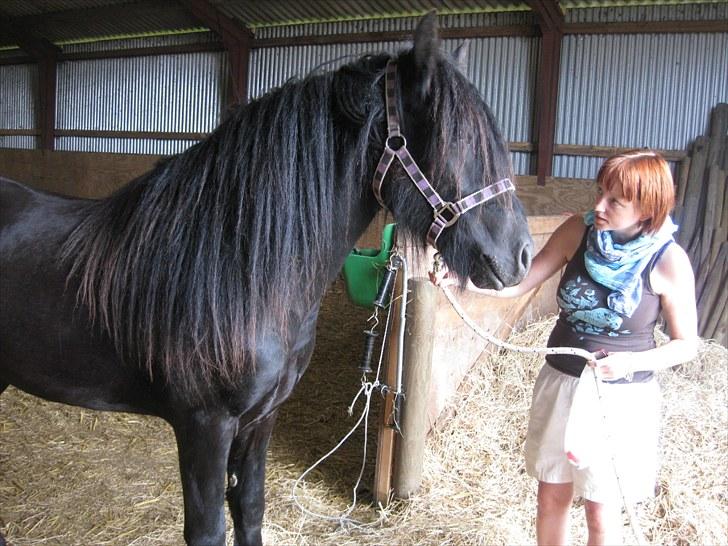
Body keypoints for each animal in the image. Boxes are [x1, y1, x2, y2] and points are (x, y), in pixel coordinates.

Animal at [0, 13, 532, 546]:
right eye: (456, 142)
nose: (521, 255)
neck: (235, 269)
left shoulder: (261, 420)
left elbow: (251, 507)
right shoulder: (205, 426)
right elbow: (209, 529)